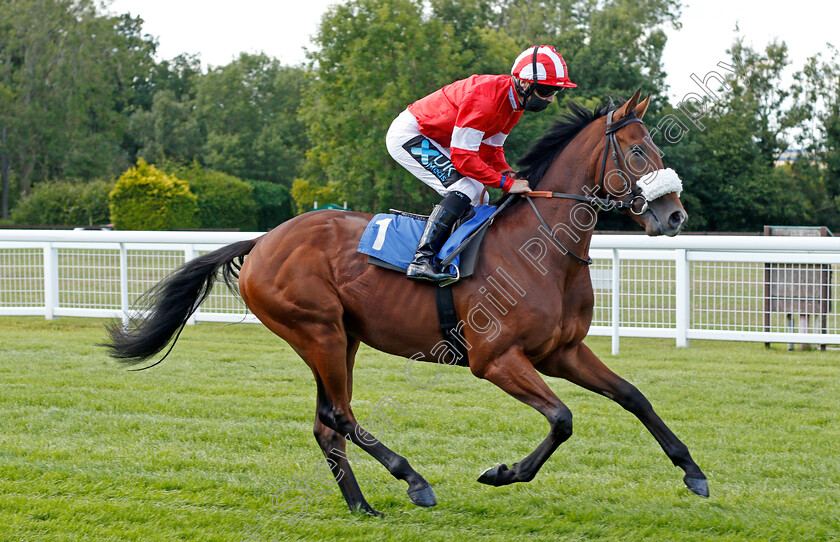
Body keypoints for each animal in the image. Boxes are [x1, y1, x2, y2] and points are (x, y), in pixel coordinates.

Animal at [105, 90, 708, 520]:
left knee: (327, 422)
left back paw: (362, 506)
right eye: (638, 151)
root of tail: (262, 242)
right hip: (317, 331)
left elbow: (633, 396)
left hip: (339, 337)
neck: (543, 249)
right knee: (338, 414)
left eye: (658, 150)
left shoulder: (562, 352)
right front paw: (502, 472)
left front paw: (693, 471)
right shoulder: (496, 360)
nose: (674, 216)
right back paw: (413, 481)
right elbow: (562, 419)